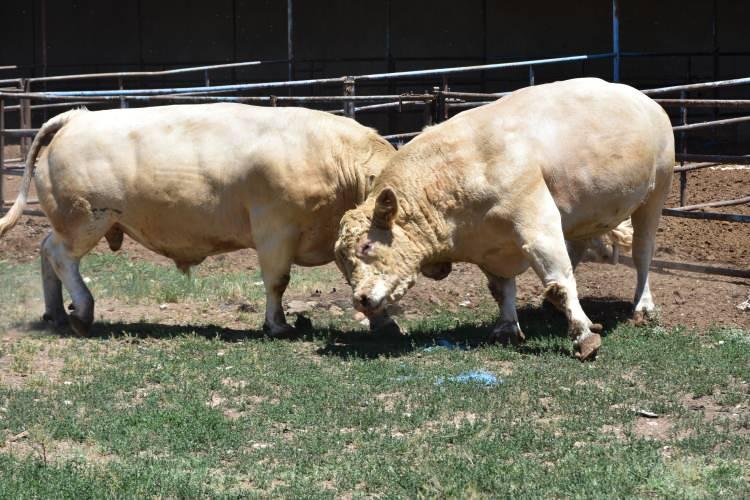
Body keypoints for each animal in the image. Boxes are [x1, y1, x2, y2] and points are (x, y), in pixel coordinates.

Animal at [0, 102, 396, 336]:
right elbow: (277, 281)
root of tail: (79, 116)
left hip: (74, 222)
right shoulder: (275, 229)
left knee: (46, 249)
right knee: (61, 256)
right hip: (85, 219)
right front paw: (277, 325)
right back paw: (81, 312)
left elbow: (359, 277)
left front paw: (383, 321)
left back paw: (55, 313)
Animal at [334, 78, 676, 360]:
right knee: (578, 247)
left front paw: (583, 336)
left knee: (642, 252)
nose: (360, 299)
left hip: (656, 192)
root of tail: (645, 100)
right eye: (343, 260)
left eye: (366, 246)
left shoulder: (537, 223)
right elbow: (501, 288)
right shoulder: (489, 245)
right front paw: (507, 329)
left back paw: (643, 306)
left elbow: (559, 282)